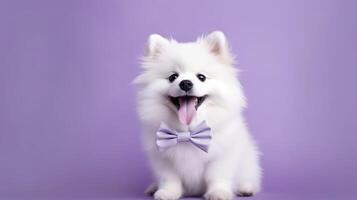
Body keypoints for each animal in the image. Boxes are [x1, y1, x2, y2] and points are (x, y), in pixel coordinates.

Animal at [134, 31, 262, 200]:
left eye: (201, 77)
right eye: (173, 77)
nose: (186, 83)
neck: (188, 131)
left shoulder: (221, 157)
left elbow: (217, 177)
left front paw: (218, 193)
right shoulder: (163, 159)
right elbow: (170, 179)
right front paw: (167, 193)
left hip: (248, 165)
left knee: (248, 178)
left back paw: (245, 188)